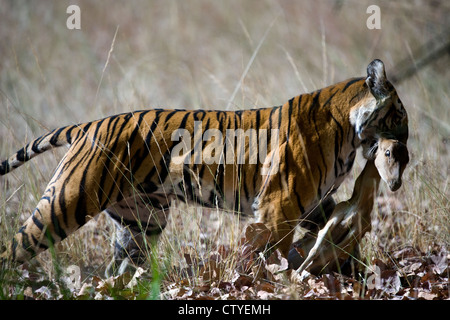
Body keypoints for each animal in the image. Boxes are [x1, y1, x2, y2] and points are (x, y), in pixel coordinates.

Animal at [0, 58, 408, 276]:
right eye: (400, 116)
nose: (406, 141)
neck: (350, 132)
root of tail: (87, 125)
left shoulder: (314, 203)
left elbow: (336, 238)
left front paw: (358, 274)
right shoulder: (280, 205)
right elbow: (274, 252)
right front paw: (272, 280)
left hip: (141, 221)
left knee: (120, 270)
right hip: (64, 205)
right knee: (15, 248)